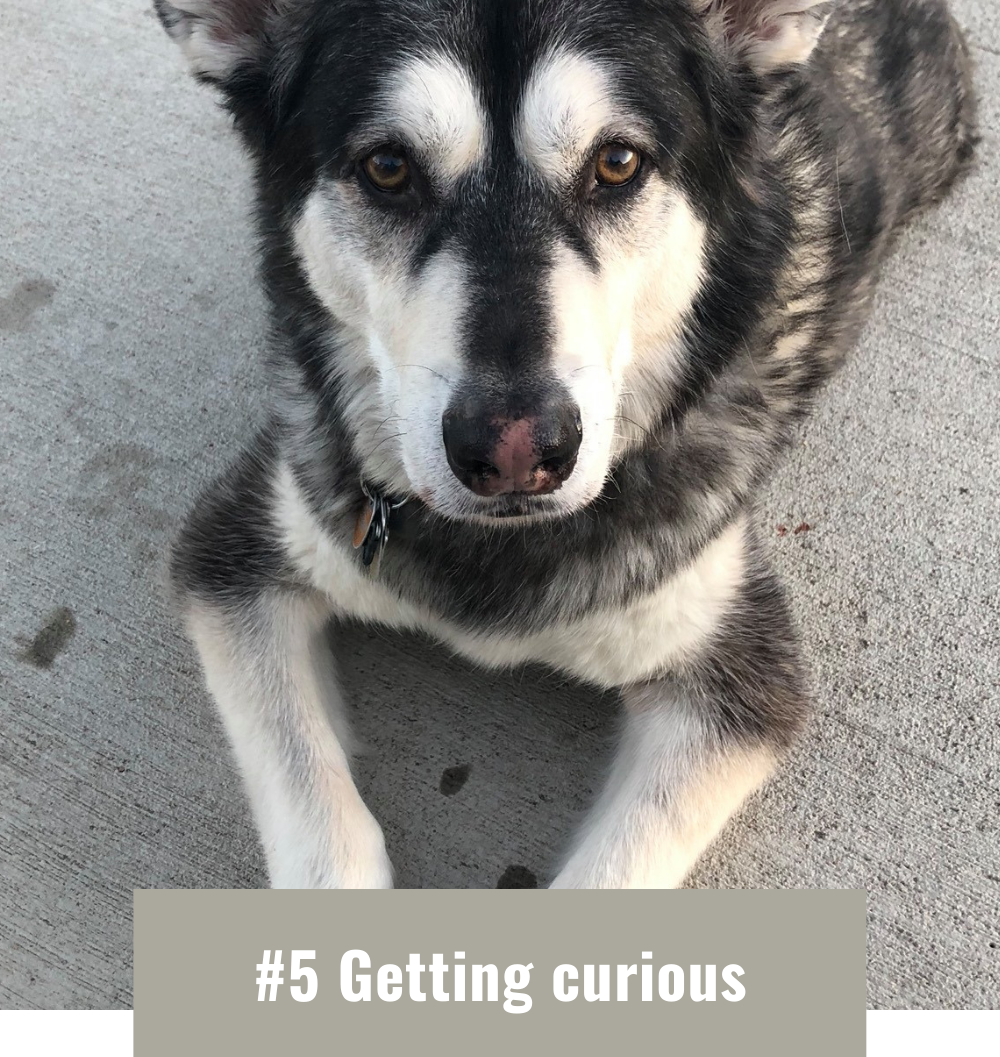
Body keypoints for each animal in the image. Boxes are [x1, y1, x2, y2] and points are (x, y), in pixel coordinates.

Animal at [156, 0, 972, 887]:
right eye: (388, 167)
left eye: (617, 162)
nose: (515, 450)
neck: (499, 550)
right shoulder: (242, 550)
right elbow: (319, 819)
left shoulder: (737, 669)